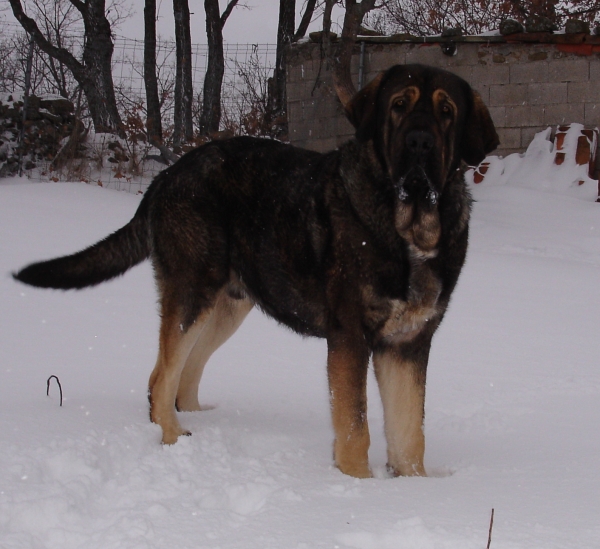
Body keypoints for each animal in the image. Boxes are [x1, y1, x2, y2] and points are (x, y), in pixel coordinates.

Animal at [12, 63, 496, 476]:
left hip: (226, 307)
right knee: (161, 377)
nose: (419, 143)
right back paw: (172, 438)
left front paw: (410, 488)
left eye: (447, 113)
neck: (408, 227)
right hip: (193, 293)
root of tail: (165, 177)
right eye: (398, 105)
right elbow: (355, 427)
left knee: (182, 374)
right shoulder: (350, 338)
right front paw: (356, 486)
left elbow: (409, 433)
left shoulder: (408, 344)